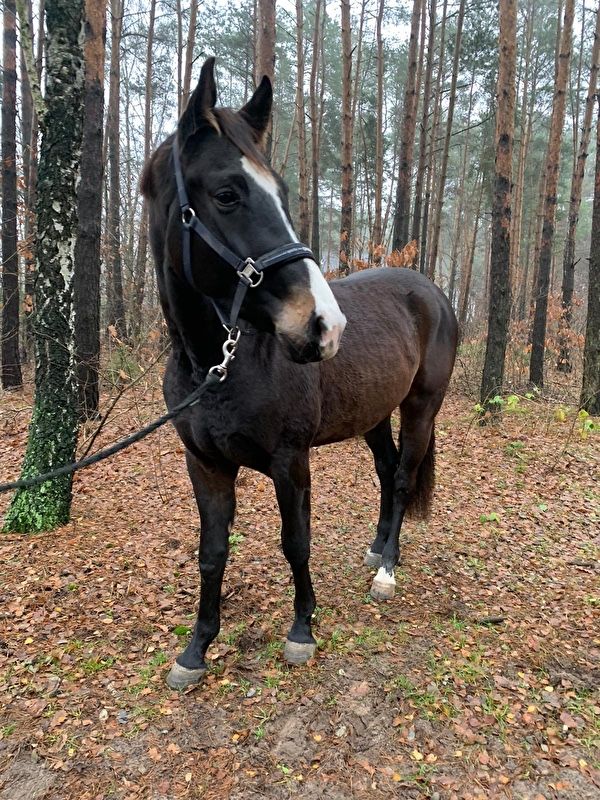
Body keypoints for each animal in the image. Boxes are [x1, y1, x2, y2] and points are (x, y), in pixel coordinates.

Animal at [142, 59, 460, 692]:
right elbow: (212, 552)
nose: (324, 325)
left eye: (282, 193)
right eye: (227, 194)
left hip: (421, 407)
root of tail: (434, 292)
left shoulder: (291, 462)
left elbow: (296, 543)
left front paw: (302, 630)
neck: (217, 364)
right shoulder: (205, 465)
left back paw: (387, 571)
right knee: (386, 472)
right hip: (373, 416)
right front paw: (196, 650)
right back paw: (377, 549)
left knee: (404, 477)